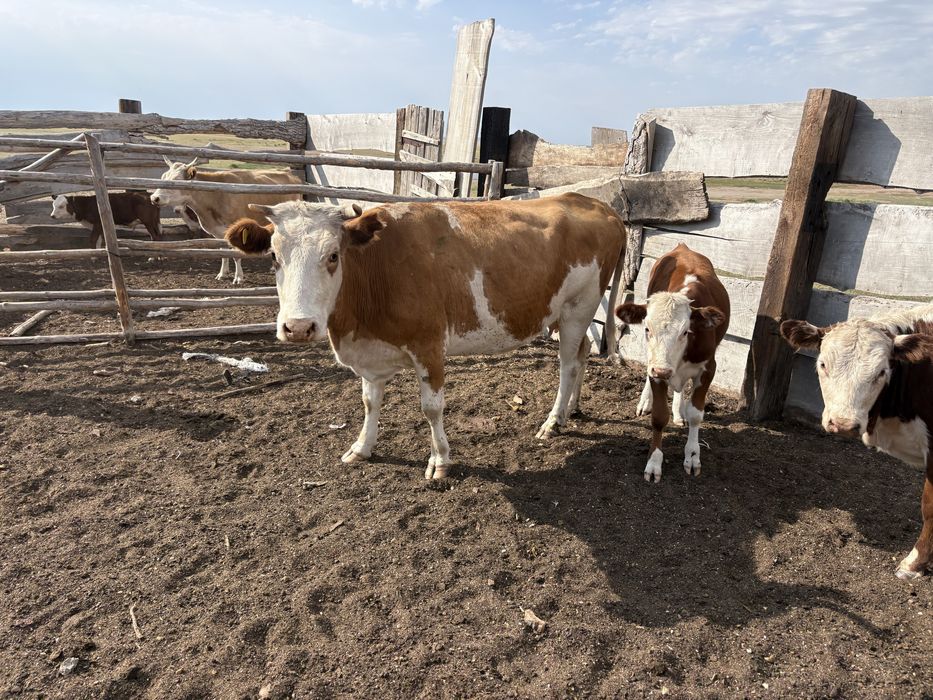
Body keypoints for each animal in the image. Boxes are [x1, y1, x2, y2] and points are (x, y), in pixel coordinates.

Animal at [151, 158, 301, 284]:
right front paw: (222, 274)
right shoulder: (218, 232)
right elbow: (222, 252)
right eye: (163, 177)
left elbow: (236, 255)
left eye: (176, 180)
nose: (154, 198)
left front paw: (238, 277)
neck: (215, 197)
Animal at [223, 194, 626, 478]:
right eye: (273, 257)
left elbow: (431, 408)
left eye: (334, 255)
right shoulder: (372, 353)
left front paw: (440, 460)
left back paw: (553, 421)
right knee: (582, 353)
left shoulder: (429, 345)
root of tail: (594, 202)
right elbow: (369, 401)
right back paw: (572, 409)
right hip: (566, 312)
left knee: (567, 364)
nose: (298, 327)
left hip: (580, 305)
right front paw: (362, 447)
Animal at [614, 243, 730, 483]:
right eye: (647, 328)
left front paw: (692, 456)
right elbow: (659, 417)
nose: (662, 370)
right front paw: (654, 462)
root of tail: (683, 247)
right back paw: (645, 402)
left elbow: (696, 415)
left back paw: (679, 411)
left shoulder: (708, 369)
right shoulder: (656, 370)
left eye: (685, 332)